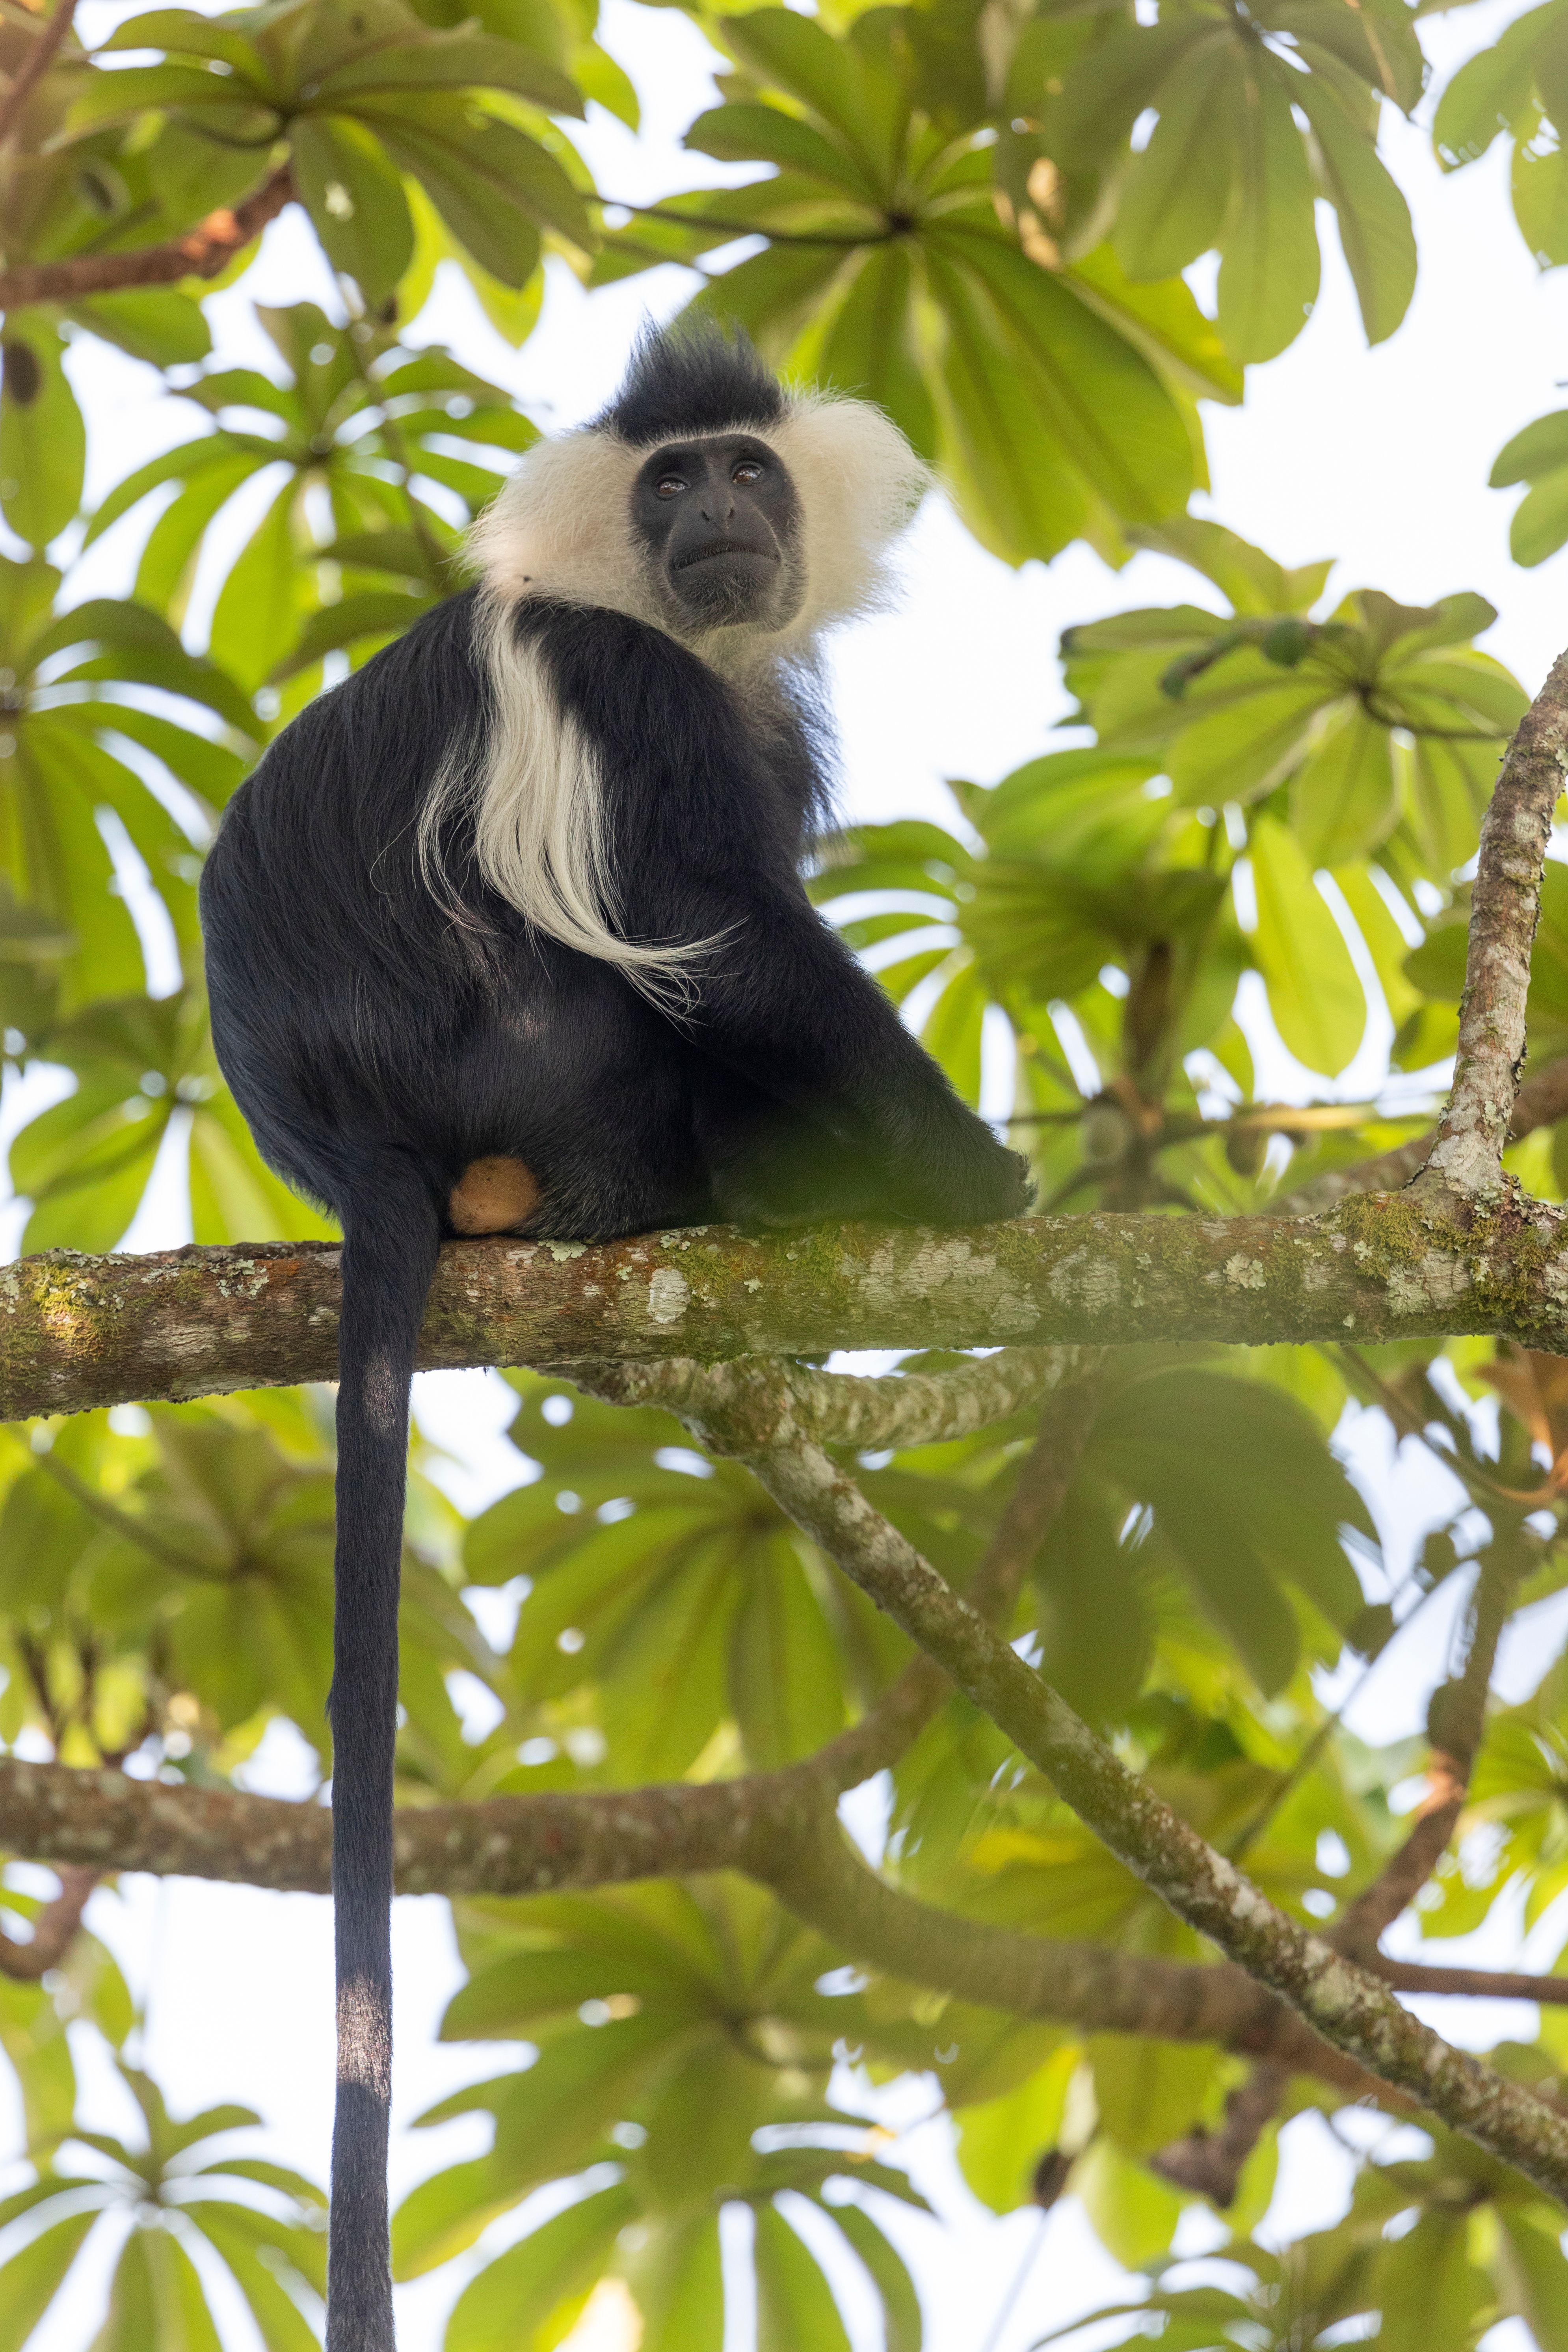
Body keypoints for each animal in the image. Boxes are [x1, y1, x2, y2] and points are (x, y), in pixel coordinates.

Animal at [198, 324, 1029, 2351]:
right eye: (670, 483)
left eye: (743, 468)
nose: (719, 509)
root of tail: (353, 1138)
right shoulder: (617, 685)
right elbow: (726, 934)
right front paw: (979, 1181)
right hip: (533, 1052)